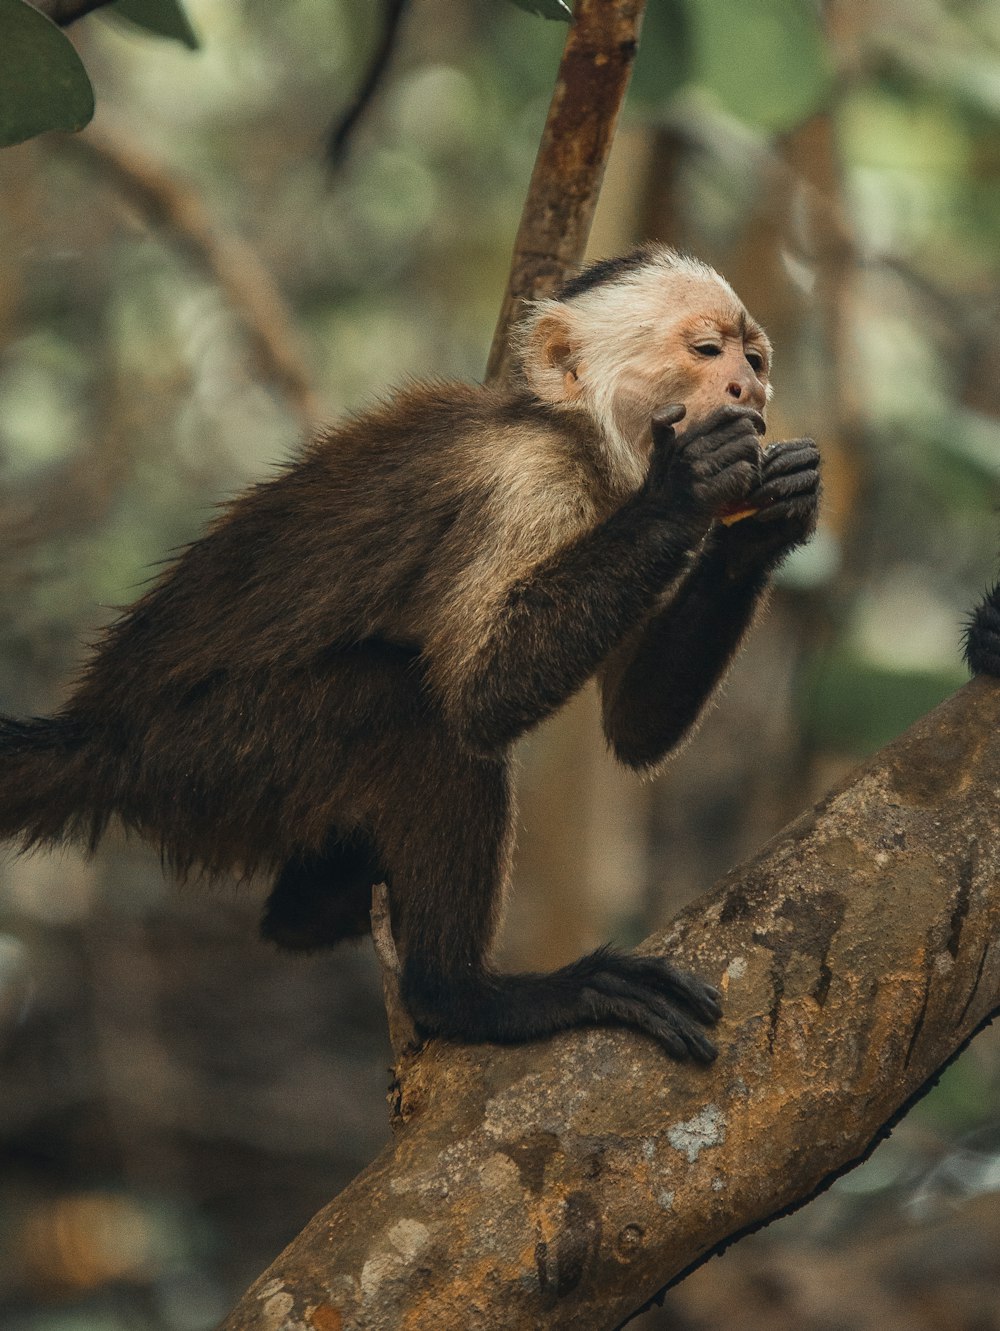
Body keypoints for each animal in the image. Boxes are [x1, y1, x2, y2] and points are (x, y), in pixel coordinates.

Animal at [0, 247, 820, 1059]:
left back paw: (316, 904)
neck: (578, 439)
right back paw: (464, 996)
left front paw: (765, 522)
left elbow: (632, 726)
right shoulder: (524, 485)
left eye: (753, 358)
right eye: (706, 351)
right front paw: (684, 490)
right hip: (210, 754)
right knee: (416, 715)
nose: (750, 387)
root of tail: (104, 729)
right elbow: (481, 697)